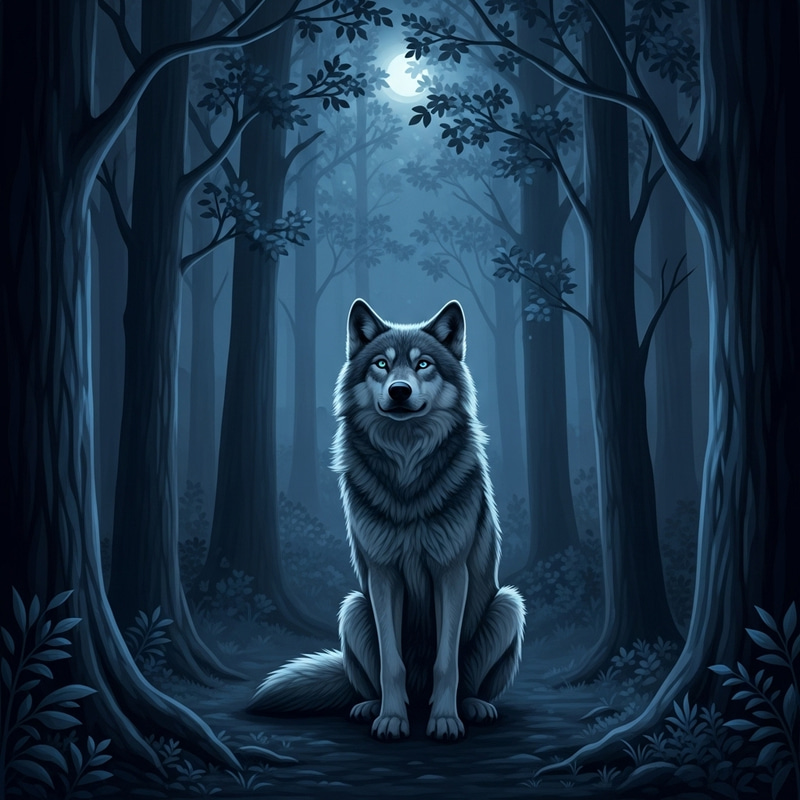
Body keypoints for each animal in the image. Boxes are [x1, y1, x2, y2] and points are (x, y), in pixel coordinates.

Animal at [248, 299, 525, 740]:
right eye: (381, 364)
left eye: (423, 364)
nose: (399, 390)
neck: (406, 464)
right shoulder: (382, 575)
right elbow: (391, 664)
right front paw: (392, 719)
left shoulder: (452, 572)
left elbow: (446, 663)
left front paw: (444, 721)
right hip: (353, 607)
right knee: (372, 679)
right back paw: (369, 706)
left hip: (508, 605)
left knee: (468, 681)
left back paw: (472, 707)